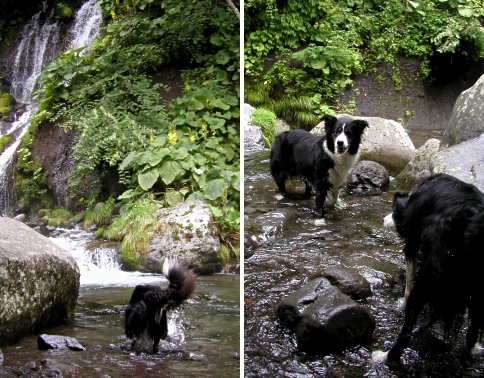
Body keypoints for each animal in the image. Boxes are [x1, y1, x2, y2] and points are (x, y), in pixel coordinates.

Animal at [378, 174, 484, 366]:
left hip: (431, 276)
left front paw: (401, 302)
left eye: (394, 212)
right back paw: (471, 351)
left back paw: (385, 357)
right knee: (473, 329)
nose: (383, 220)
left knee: (407, 330)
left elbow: (409, 281)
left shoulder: (413, 236)